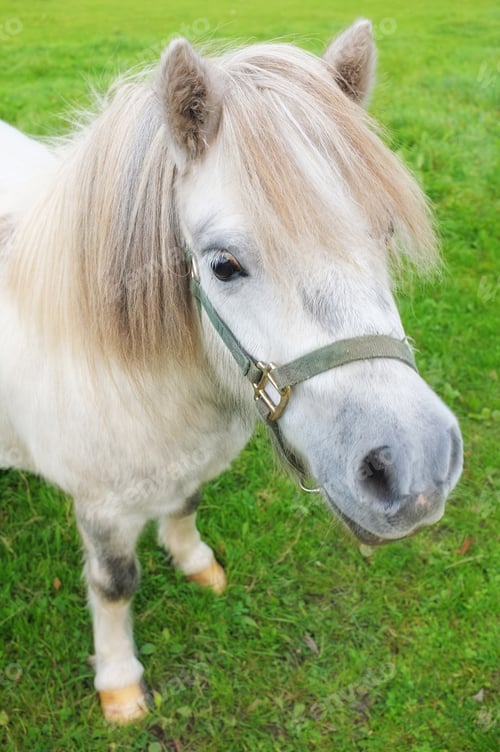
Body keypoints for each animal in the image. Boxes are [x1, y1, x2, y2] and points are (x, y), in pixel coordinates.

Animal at [0, 20, 463, 723]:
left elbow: (187, 505)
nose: (415, 468)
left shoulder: (192, 463)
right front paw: (120, 683)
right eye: (223, 265)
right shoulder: (101, 507)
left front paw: (196, 563)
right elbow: (115, 585)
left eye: (384, 231)